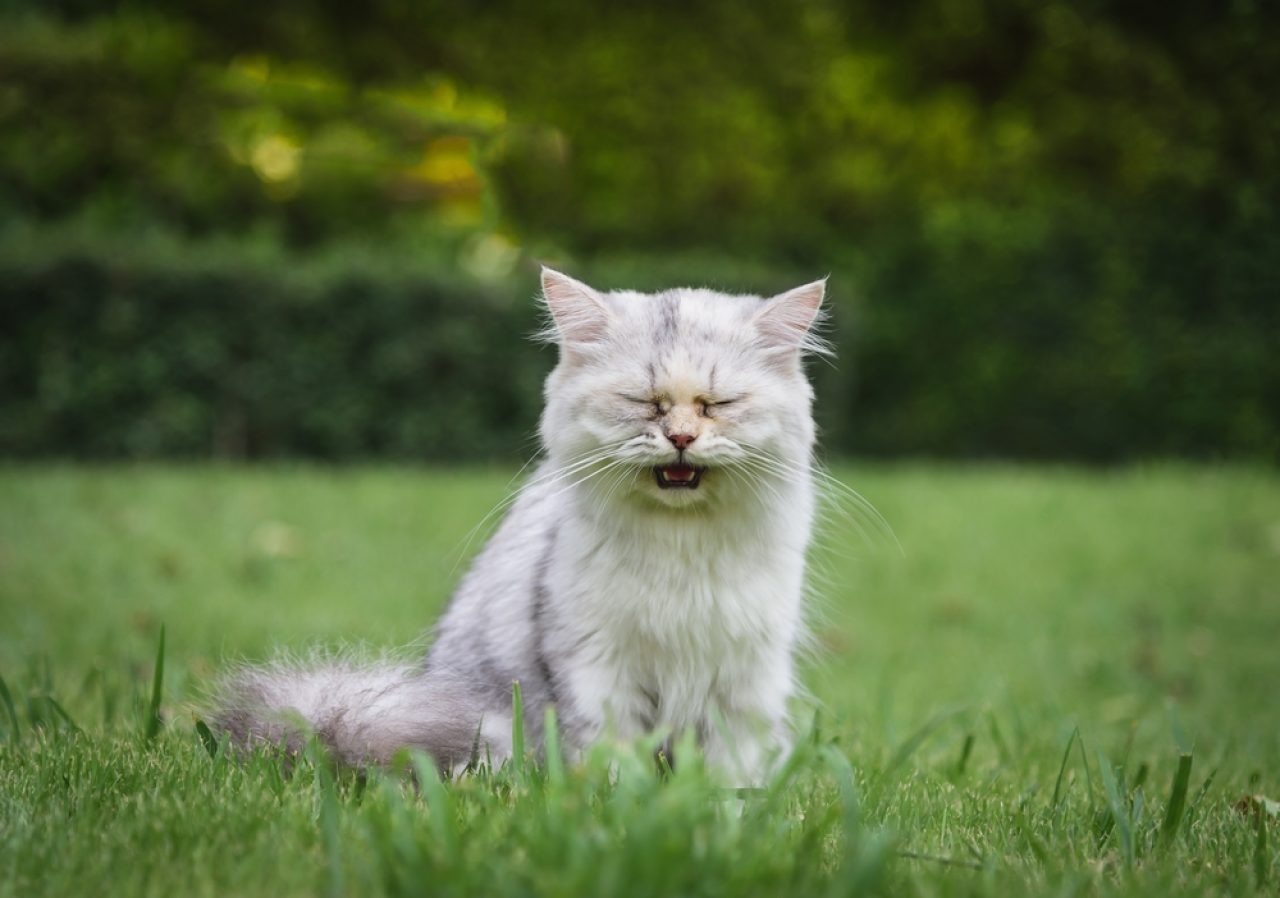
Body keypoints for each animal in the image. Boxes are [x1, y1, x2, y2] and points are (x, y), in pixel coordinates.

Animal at [213, 268, 824, 787]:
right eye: (642, 403)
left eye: (717, 405)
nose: (680, 438)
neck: (680, 538)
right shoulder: (597, 667)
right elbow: (612, 758)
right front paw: (621, 801)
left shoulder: (745, 677)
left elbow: (731, 772)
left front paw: (727, 806)